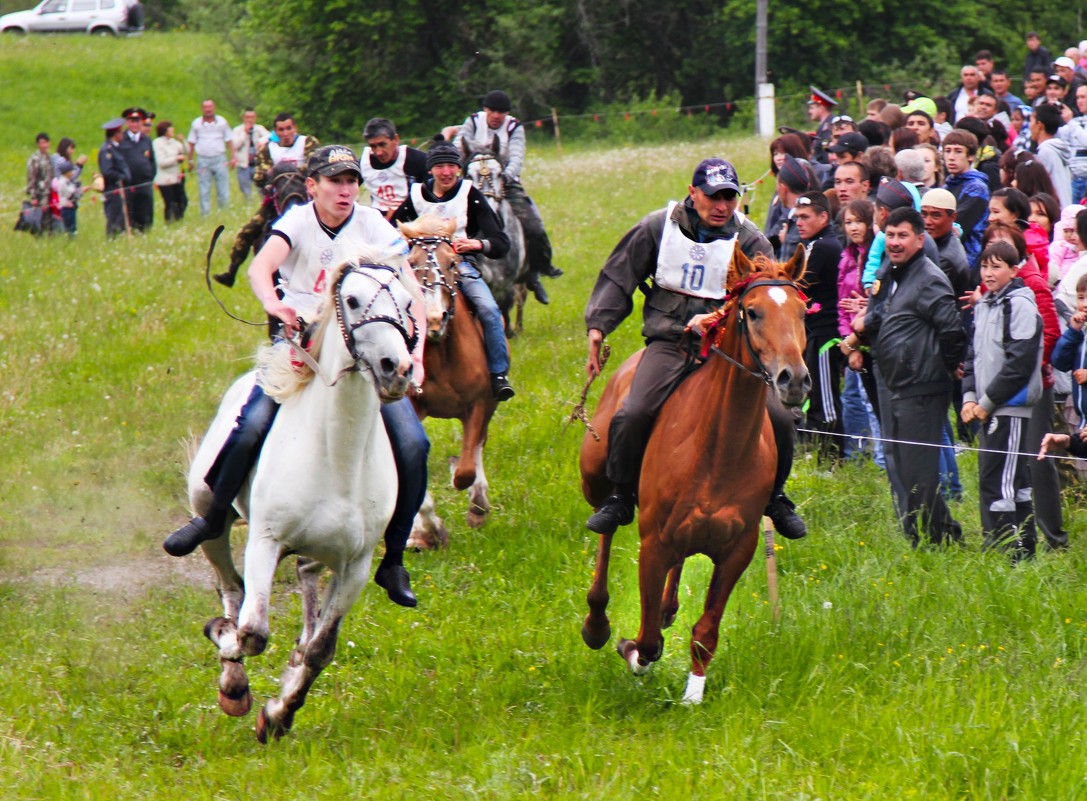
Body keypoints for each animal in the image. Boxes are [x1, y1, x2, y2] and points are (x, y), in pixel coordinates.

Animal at [186, 253, 415, 739]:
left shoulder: (356, 566)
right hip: (208, 512)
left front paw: (278, 714)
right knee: (229, 584)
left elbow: (321, 649)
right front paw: (227, 650)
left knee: (306, 591)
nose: (396, 368)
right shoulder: (266, 541)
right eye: (351, 299)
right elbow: (253, 632)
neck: (336, 456)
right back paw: (232, 678)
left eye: (407, 302)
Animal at [400, 215, 500, 541]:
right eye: (411, 263)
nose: (434, 319)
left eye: (453, 262)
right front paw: (427, 531)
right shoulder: (415, 407)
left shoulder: (479, 404)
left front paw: (472, 500)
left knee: (478, 446)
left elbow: (467, 468)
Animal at [578, 243, 808, 699]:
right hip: (594, 476)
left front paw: (693, 694)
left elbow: (705, 633)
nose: (793, 380)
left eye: (802, 312)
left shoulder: (738, 550)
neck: (720, 448)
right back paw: (596, 623)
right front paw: (630, 649)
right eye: (752, 312)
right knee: (605, 526)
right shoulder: (654, 546)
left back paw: (668, 610)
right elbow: (648, 640)